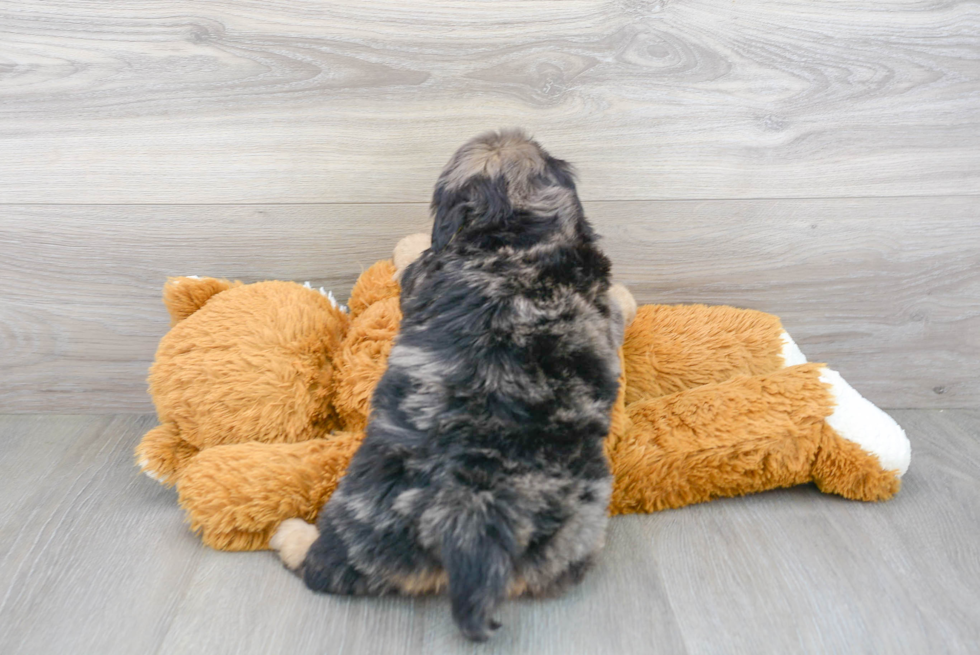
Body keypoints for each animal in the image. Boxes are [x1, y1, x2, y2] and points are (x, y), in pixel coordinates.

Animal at [272, 128, 624, 640]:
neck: (525, 237)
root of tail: (474, 515)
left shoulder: (422, 275)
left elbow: (412, 258)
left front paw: (408, 240)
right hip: (573, 529)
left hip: (363, 517)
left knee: (325, 569)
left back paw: (292, 537)